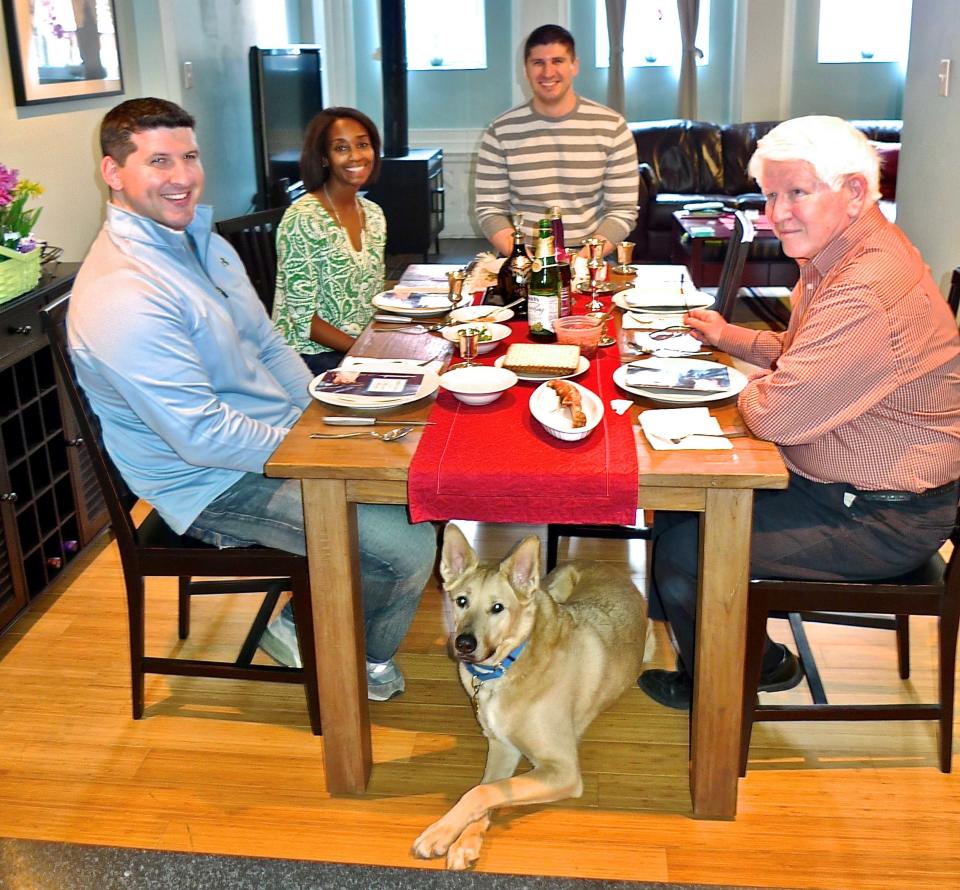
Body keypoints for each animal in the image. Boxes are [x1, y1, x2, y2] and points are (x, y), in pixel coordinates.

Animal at [414, 520, 652, 868]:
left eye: (497, 608)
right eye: (461, 601)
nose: (464, 644)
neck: (506, 668)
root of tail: (603, 564)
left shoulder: (563, 769)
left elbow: (482, 792)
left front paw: (441, 833)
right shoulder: (502, 746)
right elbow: (488, 788)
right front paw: (465, 841)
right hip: (548, 590)